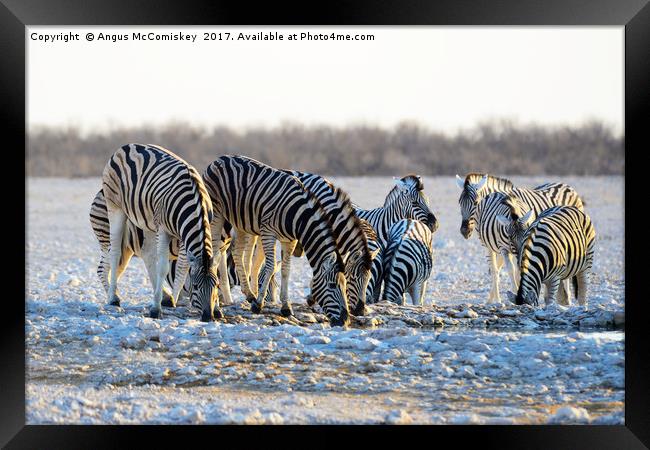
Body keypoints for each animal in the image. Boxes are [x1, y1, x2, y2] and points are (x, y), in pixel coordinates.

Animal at [100, 142, 218, 322]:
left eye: (216, 285)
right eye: (196, 286)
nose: (208, 317)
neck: (195, 203)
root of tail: (126, 146)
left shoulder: (187, 232)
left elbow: (183, 267)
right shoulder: (163, 230)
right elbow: (163, 267)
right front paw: (156, 309)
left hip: (147, 220)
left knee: (148, 255)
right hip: (115, 207)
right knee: (114, 252)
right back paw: (113, 299)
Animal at [204, 156, 350, 326]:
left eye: (345, 285)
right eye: (333, 285)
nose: (345, 320)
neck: (297, 216)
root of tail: (218, 159)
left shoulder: (290, 240)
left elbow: (286, 269)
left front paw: (286, 307)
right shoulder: (268, 233)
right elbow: (271, 266)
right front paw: (258, 304)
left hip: (240, 221)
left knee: (237, 252)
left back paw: (249, 293)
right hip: (217, 214)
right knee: (216, 250)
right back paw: (218, 307)